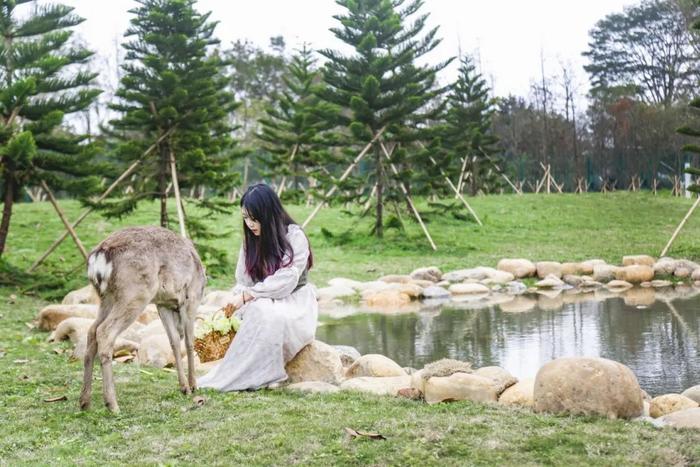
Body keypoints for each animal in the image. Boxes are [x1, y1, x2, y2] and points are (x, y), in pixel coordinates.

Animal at [80, 227, 205, 414]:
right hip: (135, 293)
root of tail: (99, 257)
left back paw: (84, 402)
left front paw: (183, 387)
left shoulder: (162, 304)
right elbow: (190, 342)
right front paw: (193, 385)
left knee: (92, 331)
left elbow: (174, 341)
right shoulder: (191, 298)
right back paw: (112, 404)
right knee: (104, 331)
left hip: (107, 298)